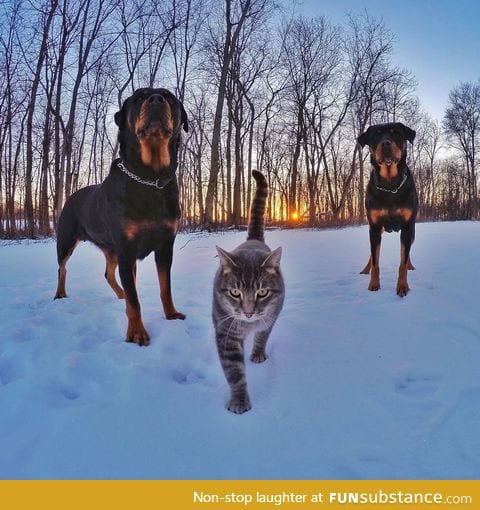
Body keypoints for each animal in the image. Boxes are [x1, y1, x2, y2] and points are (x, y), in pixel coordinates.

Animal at [54, 87, 189, 344]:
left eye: (169, 97)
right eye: (140, 96)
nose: (156, 99)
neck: (150, 178)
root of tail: (70, 197)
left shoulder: (165, 244)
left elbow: (165, 287)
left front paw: (171, 314)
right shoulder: (127, 248)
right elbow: (135, 300)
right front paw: (136, 332)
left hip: (111, 248)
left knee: (108, 273)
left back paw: (120, 294)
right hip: (66, 239)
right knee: (62, 268)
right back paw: (59, 295)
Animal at [212, 171, 284, 414]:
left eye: (262, 292)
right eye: (235, 292)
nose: (249, 312)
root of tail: (253, 239)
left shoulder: (271, 317)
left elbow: (263, 335)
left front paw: (258, 352)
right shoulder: (225, 332)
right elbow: (234, 372)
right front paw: (239, 400)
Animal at [356, 122, 416, 296]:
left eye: (395, 133)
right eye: (376, 135)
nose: (385, 143)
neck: (390, 186)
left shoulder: (408, 226)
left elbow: (403, 260)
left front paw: (402, 286)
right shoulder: (374, 227)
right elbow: (375, 260)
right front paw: (373, 284)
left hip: (412, 230)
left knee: (408, 250)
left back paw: (411, 266)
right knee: (372, 254)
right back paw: (365, 269)